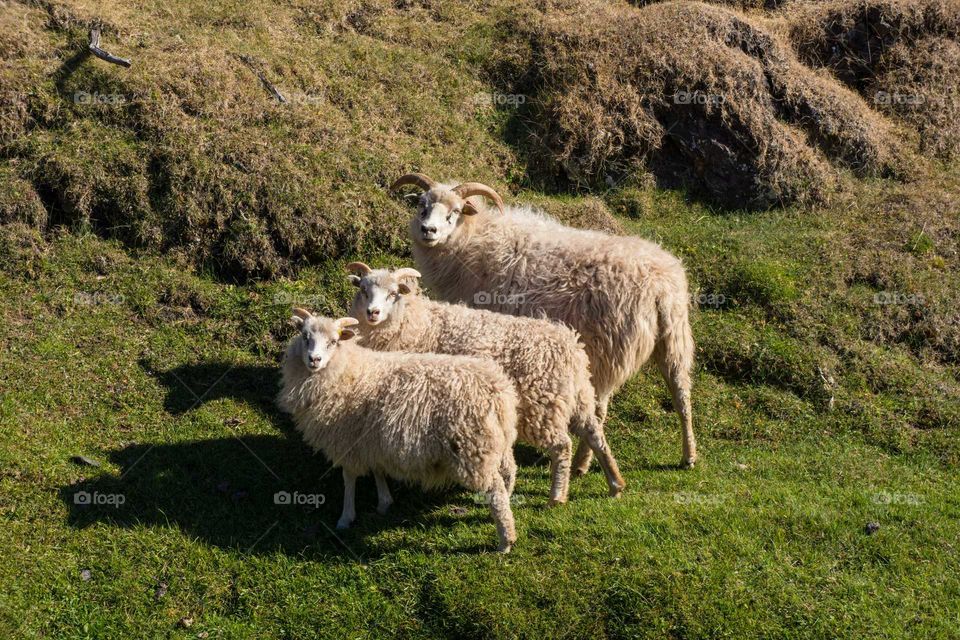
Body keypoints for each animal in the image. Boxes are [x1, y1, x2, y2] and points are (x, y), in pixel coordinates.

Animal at [277, 309, 520, 552]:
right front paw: (384, 502)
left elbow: (349, 478)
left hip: (473, 448)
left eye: (333, 342)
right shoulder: (370, 439)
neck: (348, 370)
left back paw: (505, 541)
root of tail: (498, 390)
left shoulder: (346, 440)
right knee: (509, 473)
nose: (314, 359)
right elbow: (377, 469)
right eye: (305, 336)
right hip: (498, 442)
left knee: (496, 490)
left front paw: (346, 518)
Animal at [345, 262, 626, 506]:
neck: (414, 322)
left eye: (393, 293)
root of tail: (571, 347)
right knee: (594, 433)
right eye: (364, 290)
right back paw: (615, 483)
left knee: (562, 447)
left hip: (542, 407)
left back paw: (557, 496)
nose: (372, 313)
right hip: (577, 397)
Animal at [391, 172, 698, 472]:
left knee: (599, 409)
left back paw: (582, 463)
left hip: (610, 347)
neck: (473, 239)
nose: (428, 230)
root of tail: (659, 286)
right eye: (422, 205)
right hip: (673, 338)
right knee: (681, 392)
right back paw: (689, 455)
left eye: (454, 212)